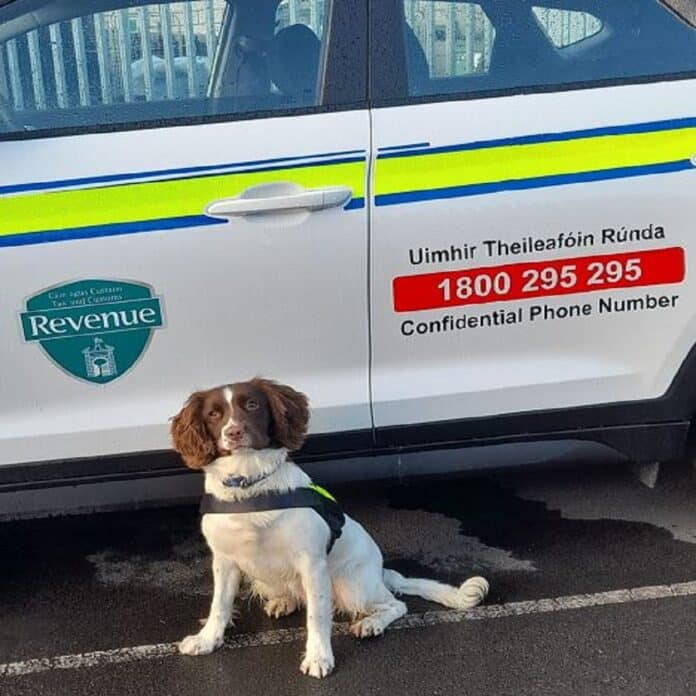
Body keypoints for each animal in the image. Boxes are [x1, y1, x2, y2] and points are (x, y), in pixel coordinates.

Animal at [171, 378, 490, 676]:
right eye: (214, 414)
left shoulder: (312, 564)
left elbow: (317, 615)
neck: (249, 490)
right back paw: (284, 601)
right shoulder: (224, 561)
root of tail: (381, 572)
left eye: (252, 405)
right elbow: (219, 605)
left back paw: (371, 623)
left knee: (395, 605)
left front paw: (318, 657)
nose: (234, 433)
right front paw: (207, 639)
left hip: (351, 586)